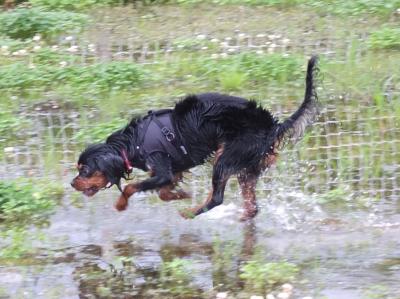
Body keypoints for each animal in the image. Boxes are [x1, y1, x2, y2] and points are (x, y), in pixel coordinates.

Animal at [71, 56, 318, 221]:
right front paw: (181, 194)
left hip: (227, 157)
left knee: (217, 197)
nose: (72, 183)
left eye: (85, 170)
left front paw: (121, 204)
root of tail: (274, 126)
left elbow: (132, 187)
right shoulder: (174, 169)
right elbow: (163, 192)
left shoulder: (161, 168)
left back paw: (190, 213)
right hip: (246, 167)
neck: (133, 143)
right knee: (251, 206)